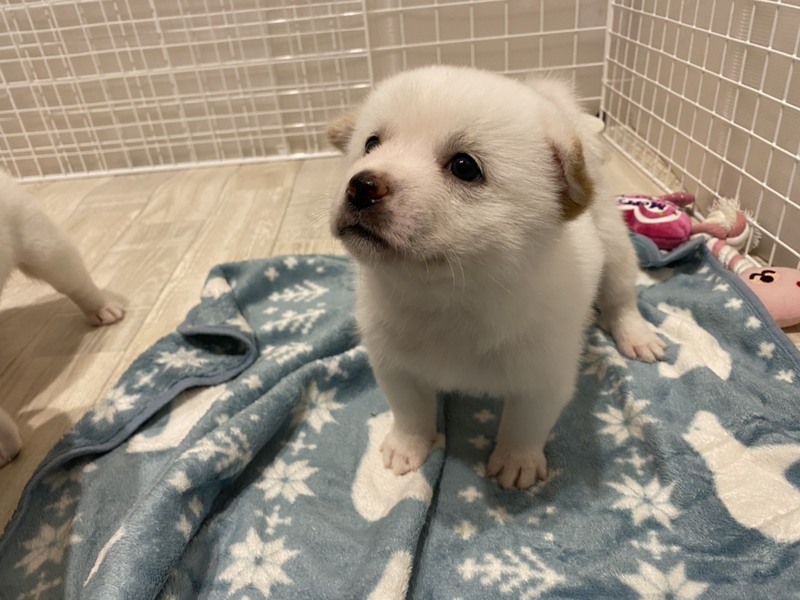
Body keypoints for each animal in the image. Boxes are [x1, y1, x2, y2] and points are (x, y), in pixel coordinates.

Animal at [327, 66, 666, 489]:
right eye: (371, 144)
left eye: (464, 167)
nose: (362, 185)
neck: (447, 300)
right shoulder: (394, 366)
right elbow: (410, 412)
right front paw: (408, 445)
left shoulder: (544, 378)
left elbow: (524, 425)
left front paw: (516, 461)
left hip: (616, 249)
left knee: (621, 299)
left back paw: (636, 335)